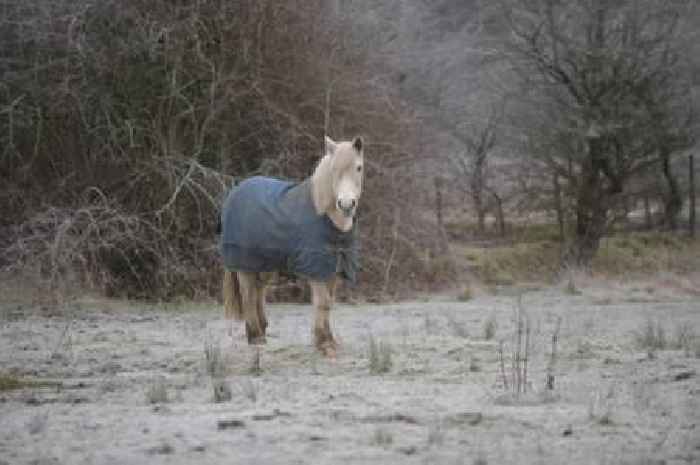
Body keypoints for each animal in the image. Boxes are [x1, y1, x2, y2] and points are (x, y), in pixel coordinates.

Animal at [219, 136, 364, 358]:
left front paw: (328, 341)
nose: (346, 204)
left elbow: (328, 303)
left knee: (259, 290)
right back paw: (255, 337)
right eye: (334, 169)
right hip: (245, 263)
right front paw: (324, 344)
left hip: (266, 263)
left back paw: (262, 330)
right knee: (248, 293)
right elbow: (322, 302)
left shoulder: (331, 267)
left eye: (359, 167)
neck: (326, 216)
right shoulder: (316, 267)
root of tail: (236, 190)